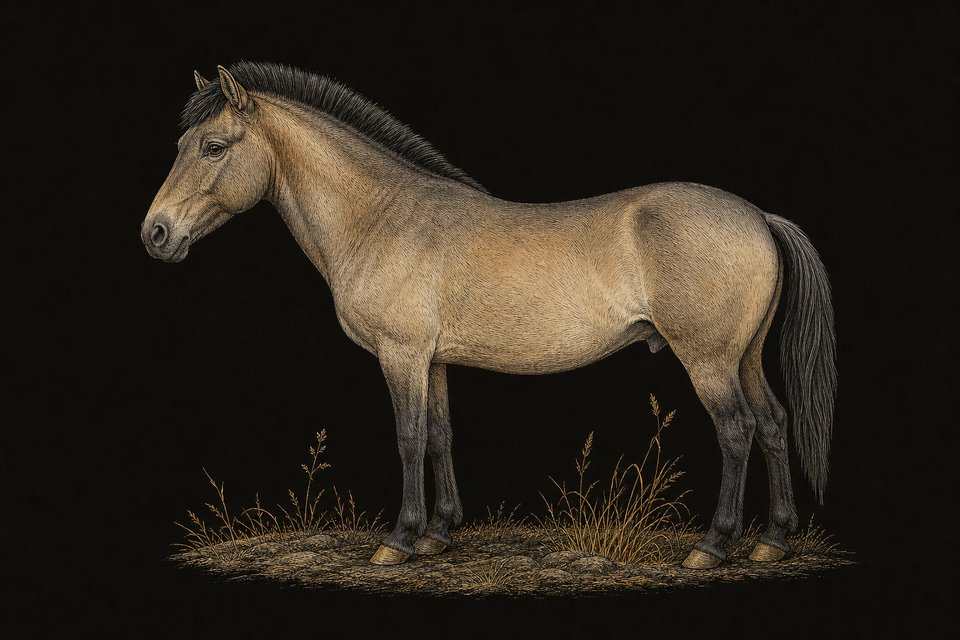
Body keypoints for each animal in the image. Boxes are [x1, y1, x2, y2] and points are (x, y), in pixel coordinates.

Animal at [141, 62, 836, 569]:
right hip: (744, 358)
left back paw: (712, 547)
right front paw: (440, 533)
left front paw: (399, 541)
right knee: (773, 424)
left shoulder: (401, 356)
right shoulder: (433, 360)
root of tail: (757, 216)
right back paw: (773, 541)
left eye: (213, 146)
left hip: (709, 361)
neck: (382, 217)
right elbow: (441, 435)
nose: (156, 233)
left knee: (737, 431)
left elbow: (408, 437)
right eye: (180, 144)